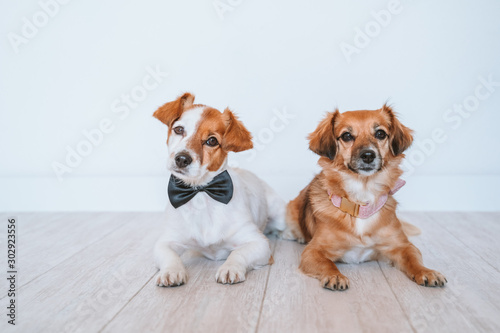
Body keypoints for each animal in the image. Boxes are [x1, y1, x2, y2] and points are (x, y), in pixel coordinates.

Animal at [152, 92, 288, 284]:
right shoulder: (166, 241)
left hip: (279, 214)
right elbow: (169, 256)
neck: (201, 194)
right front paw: (171, 270)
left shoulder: (260, 243)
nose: (182, 159)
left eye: (211, 141)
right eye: (179, 129)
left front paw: (230, 267)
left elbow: (238, 253)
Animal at [288, 105, 448, 290]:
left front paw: (427, 271)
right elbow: (327, 263)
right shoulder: (313, 251)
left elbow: (413, 259)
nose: (368, 155)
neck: (361, 201)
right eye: (346, 136)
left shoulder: (403, 246)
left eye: (380, 133)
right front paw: (335, 275)